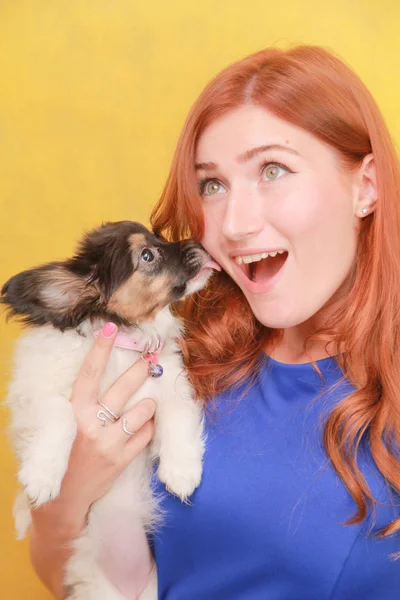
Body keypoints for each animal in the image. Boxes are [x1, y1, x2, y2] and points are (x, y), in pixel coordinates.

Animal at [1, 221, 220, 600]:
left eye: (158, 237)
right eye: (147, 254)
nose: (200, 243)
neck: (124, 346)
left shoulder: (166, 387)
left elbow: (178, 414)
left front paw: (181, 469)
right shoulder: (36, 392)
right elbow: (61, 412)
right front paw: (43, 474)